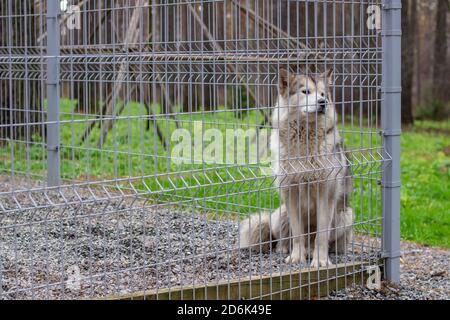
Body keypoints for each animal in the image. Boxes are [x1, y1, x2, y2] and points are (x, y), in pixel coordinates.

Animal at [241, 69, 354, 268]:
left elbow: (321, 236)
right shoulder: (290, 193)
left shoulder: (326, 195)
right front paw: (296, 257)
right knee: (283, 238)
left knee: (329, 242)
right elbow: (298, 234)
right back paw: (286, 250)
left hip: (345, 216)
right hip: (281, 213)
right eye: (305, 92)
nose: (322, 103)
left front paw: (321, 261)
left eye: (323, 94)